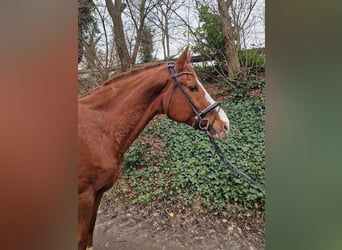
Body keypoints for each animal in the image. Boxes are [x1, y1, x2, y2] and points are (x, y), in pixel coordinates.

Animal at [78, 47, 230, 250]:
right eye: (193, 88)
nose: (225, 124)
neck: (99, 129)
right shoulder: (84, 197)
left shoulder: (98, 194)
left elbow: (90, 233)